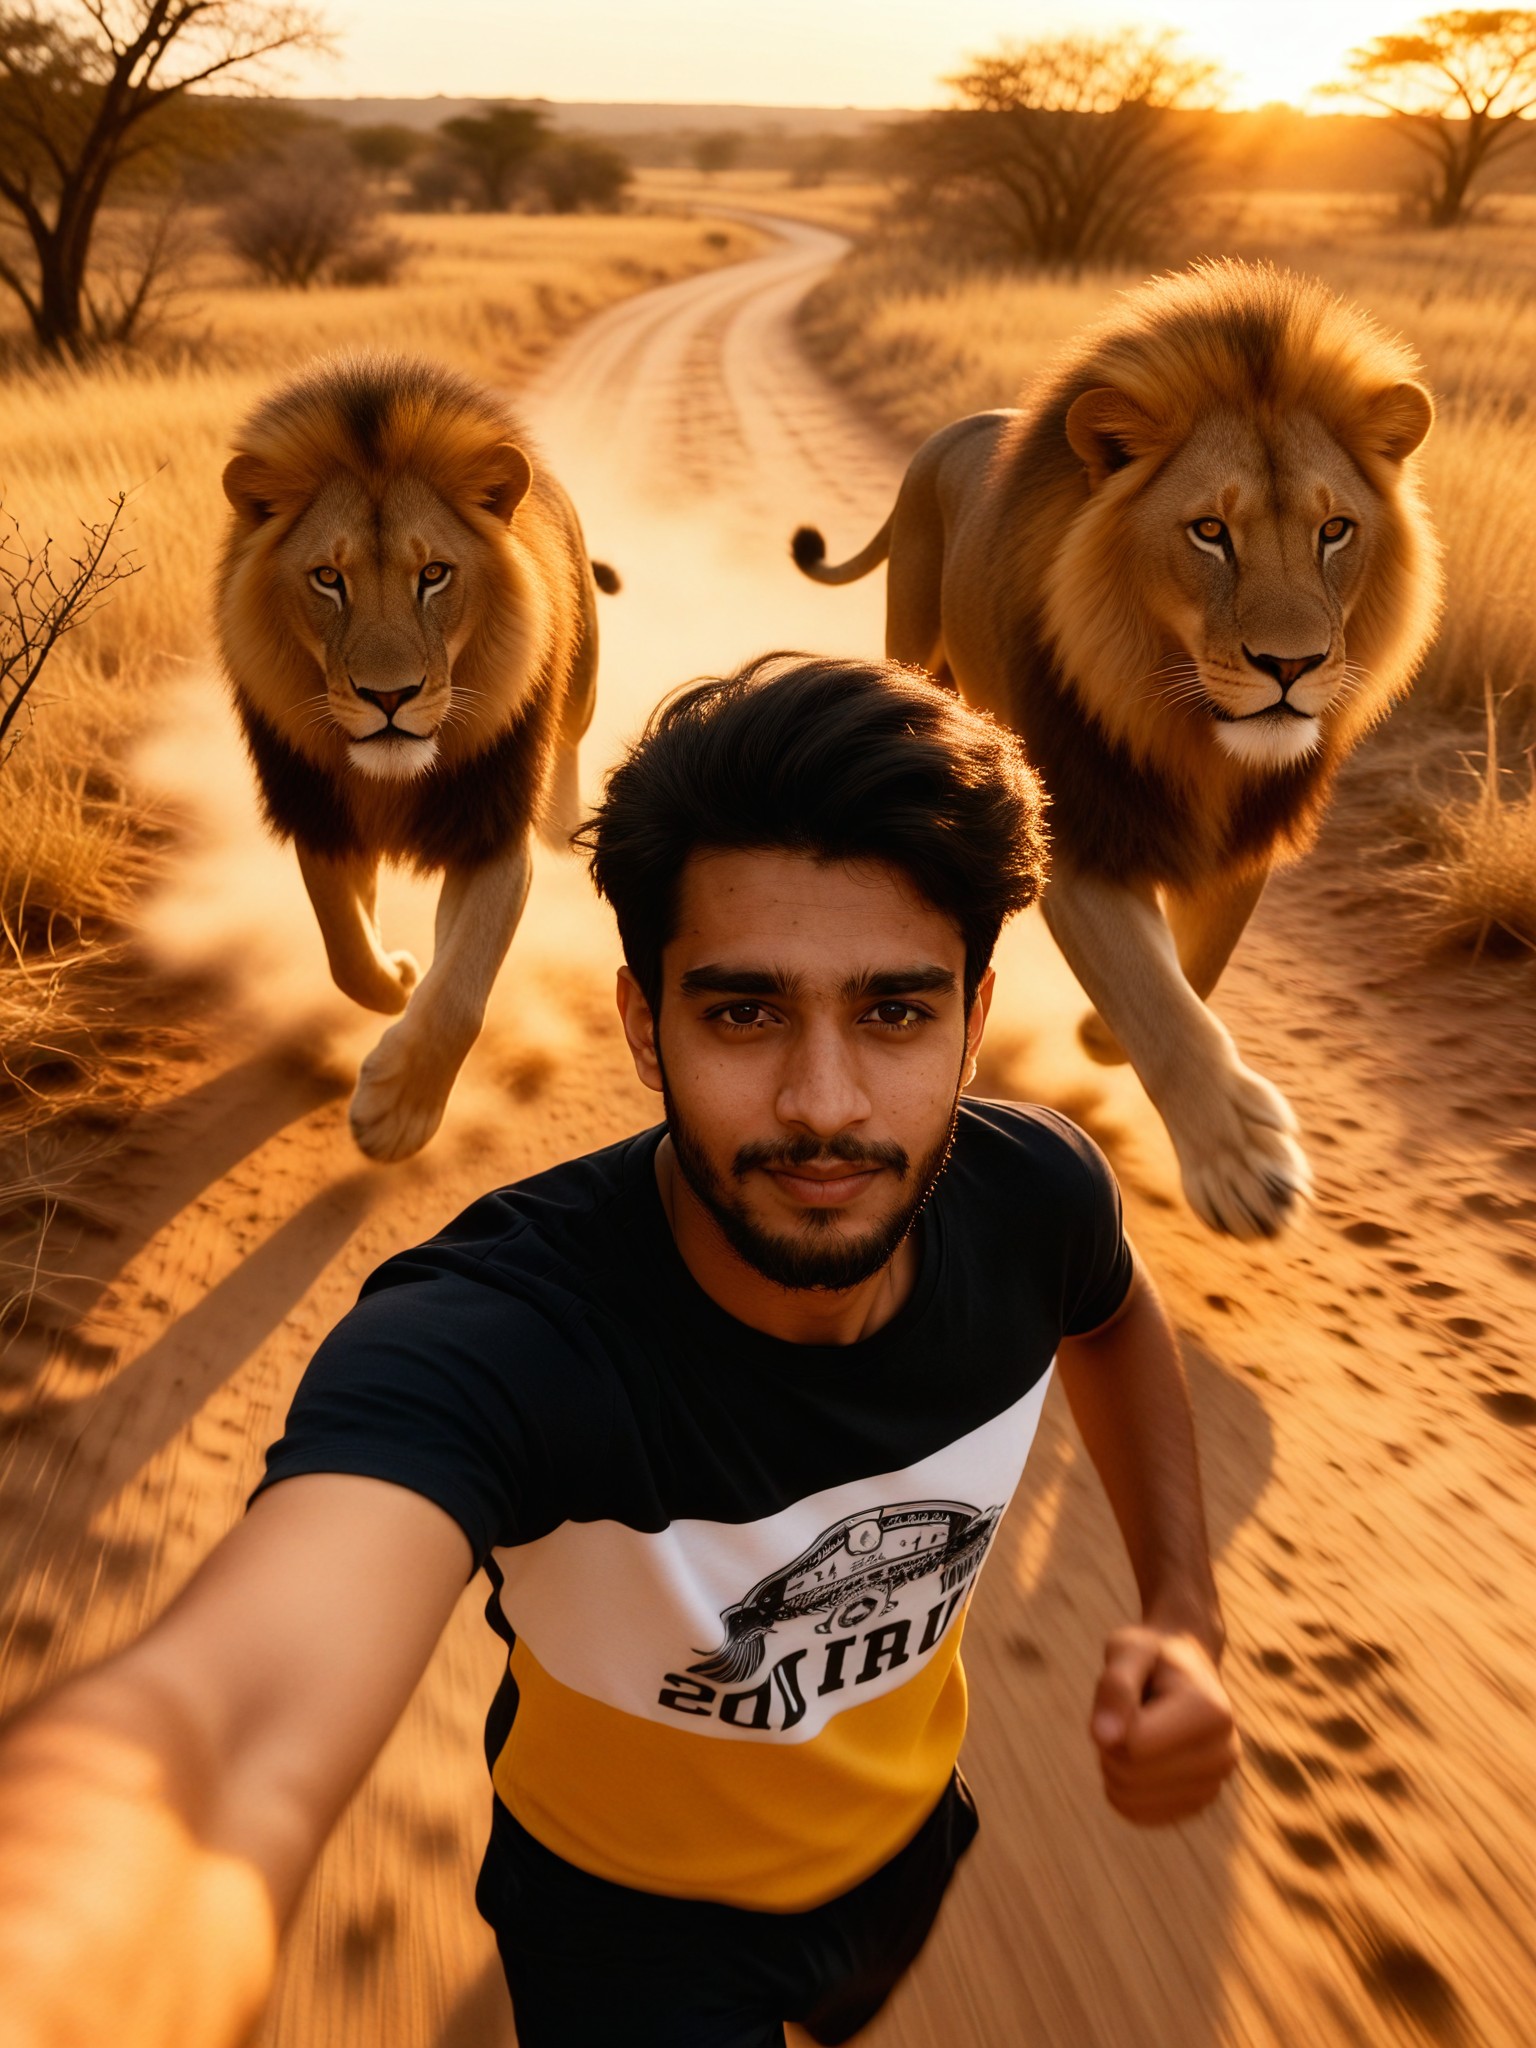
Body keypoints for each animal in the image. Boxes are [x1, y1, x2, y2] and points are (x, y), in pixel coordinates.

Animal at [218, 352, 618, 1163]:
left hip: (583, 686)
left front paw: (397, 1114)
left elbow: (462, 986)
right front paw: (398, 979)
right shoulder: (321, 812)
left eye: (433, 574)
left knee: (568, 746)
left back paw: (564, 829)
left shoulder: (490, 830)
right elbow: (345, 947)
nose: (389, 696)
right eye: (327, 578)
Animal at [792, 259, 1441, 1239]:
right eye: (1210, 532)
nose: (1291, 666)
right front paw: (1240, 1161)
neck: (1189, 731)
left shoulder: (1246, 843)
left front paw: (1100, 1044)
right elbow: (1151, 992)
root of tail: (956, 427)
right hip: (917, 643)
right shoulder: (1083, 833)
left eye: (1335, 532)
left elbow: (1195, 972)